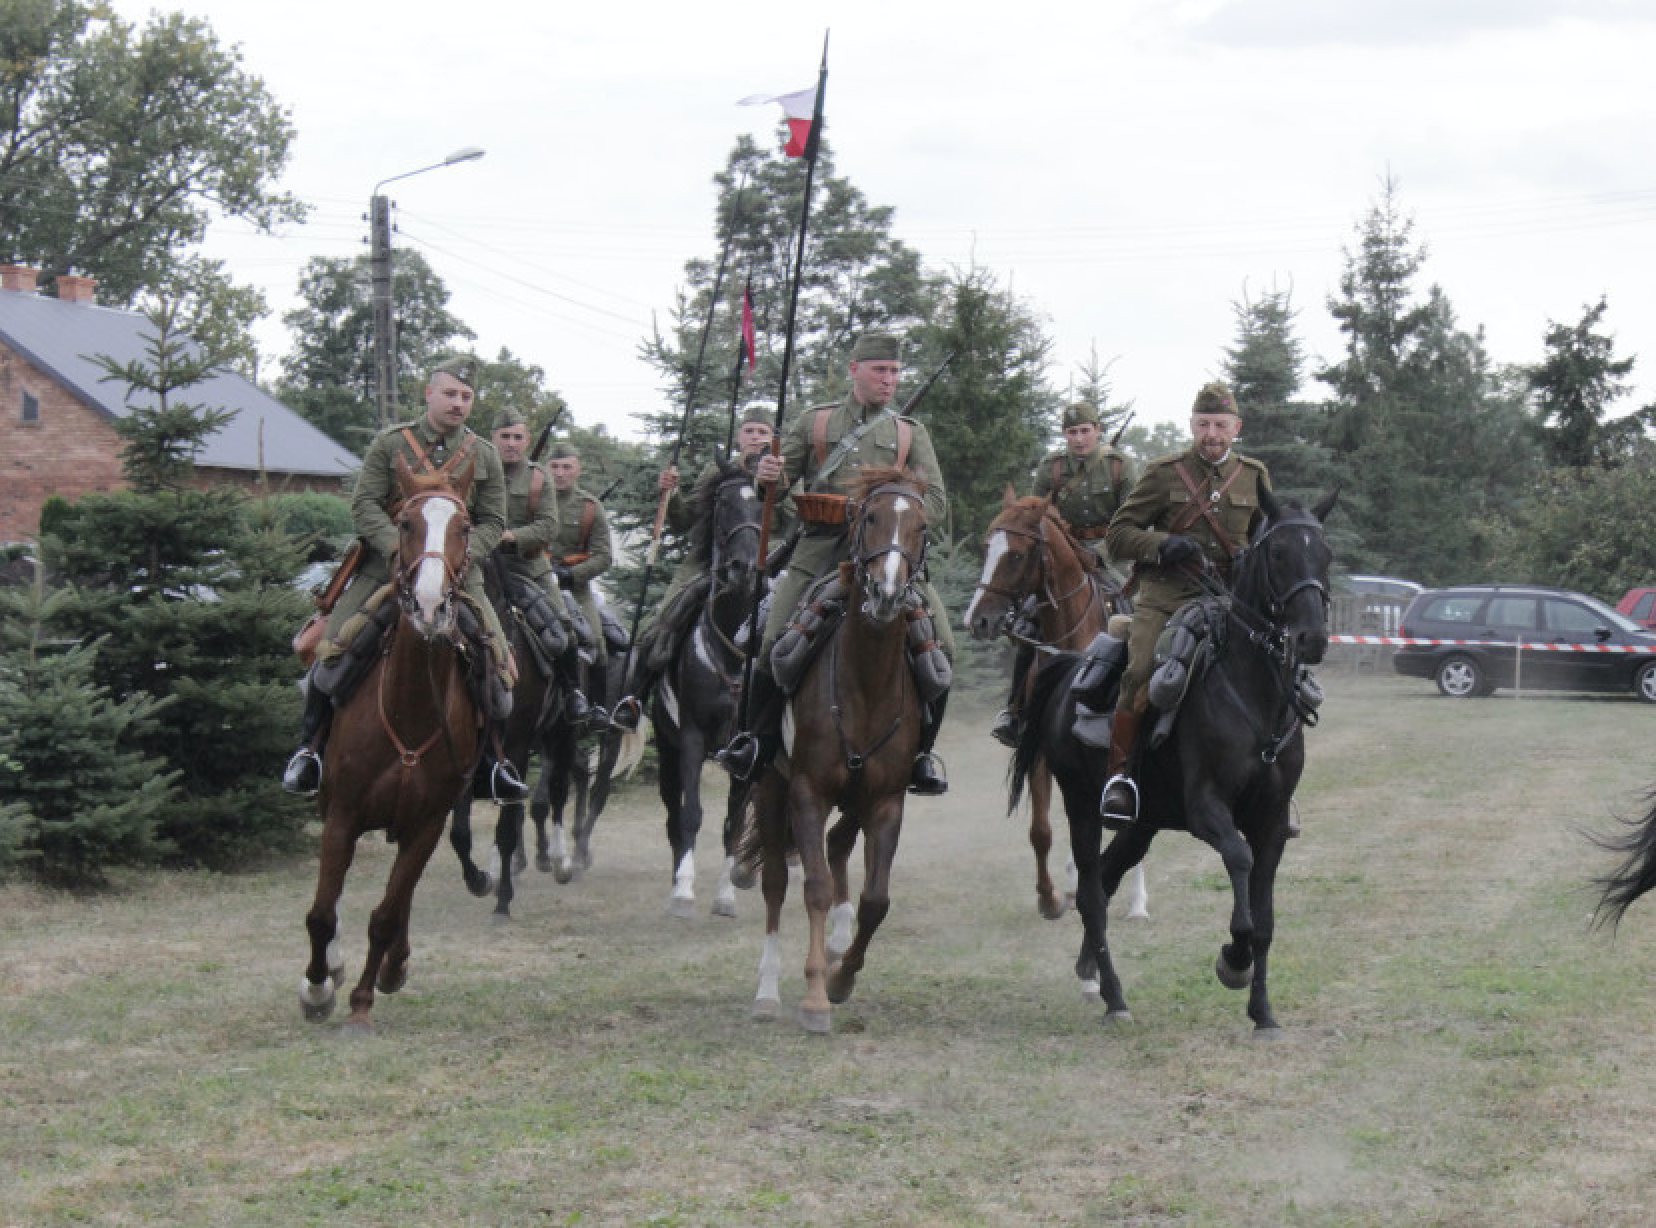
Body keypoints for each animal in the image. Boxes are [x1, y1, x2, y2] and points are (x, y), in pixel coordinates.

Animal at [301, 456, 483, 1032]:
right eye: (405, 523)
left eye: (464, 527)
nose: (428, 604)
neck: (409, 709)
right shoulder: (341, 815)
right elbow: (322, 912)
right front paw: (317, 988)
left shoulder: (427, 824)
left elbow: (385, 915)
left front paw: (362, 1000)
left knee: (399, 902)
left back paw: (392, 967)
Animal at [652, 463, 768, 926]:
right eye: (722, 505)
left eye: (763, 504)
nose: (743, 567)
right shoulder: (690, 739)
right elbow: (691, 816)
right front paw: (683, 893)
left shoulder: (747, 753)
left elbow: (732, 823)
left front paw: (725, 897)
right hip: (666, 750)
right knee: (672, 815)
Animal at [738, 470, 933, 1039]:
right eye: (869, 518)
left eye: (921, 526)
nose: (888, 593)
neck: (865, 685)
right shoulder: (807, 793)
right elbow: (815, 888)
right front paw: (814, 997)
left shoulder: (887, 801)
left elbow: (875, 899)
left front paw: (843, 978)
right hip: (771, 785)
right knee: (777, 882)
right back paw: (767, 991)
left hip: (856, 800)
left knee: (840, 846)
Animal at [1000, 489, 1338, 1039]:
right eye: (1278, 553)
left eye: (1324, 555)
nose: (1311, 638)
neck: (1253, 696)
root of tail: (1069, 668)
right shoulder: (1207, 812)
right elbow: (1240, 872)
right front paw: (1233, 961)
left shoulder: (1271, 823)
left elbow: (1265, 920)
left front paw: (1263, 1012)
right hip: (1081, 805)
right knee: (1091, 893)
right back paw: (1114, 996)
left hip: (1143, 823)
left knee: (1109, 877)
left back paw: (1090, 973)